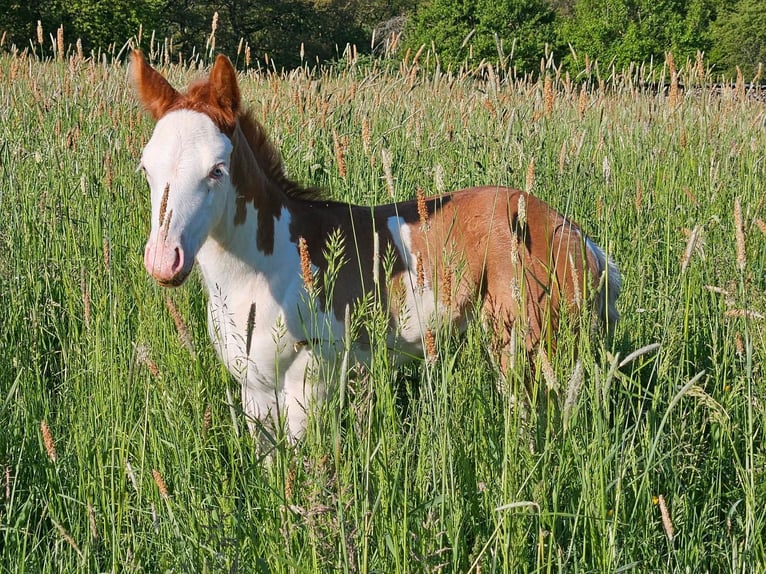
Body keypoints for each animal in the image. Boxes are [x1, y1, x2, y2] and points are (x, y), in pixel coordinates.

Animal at [134, 51, 624, 444]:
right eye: (145, 167)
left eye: (217, 169)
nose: (164, 261)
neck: (263, 271)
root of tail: (576, 237)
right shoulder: (255, 387)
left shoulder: (309, 378)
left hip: (528, 345)